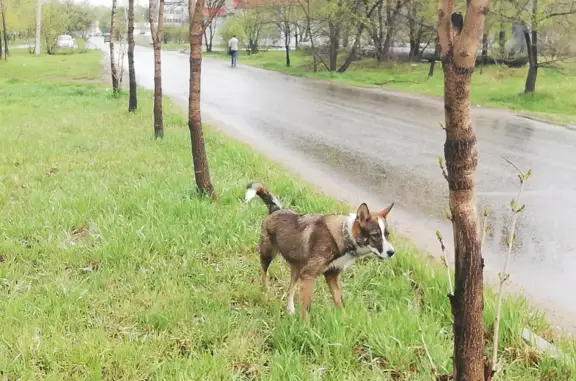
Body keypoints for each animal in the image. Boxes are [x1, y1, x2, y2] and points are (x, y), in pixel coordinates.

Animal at [245, 183, 394, 320]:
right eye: (375, 235)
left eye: (387, 234)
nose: (392, 252)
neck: (345, 235)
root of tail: (275, 209)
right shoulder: (309, 275)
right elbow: (306, 309)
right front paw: (305, 328)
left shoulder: (332, 275)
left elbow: (340, 302)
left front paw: (345, 322)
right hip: (267, 255)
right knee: (264, 276)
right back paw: (265, 295)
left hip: (297, 269)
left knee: (290, 289)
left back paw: (290, 309)